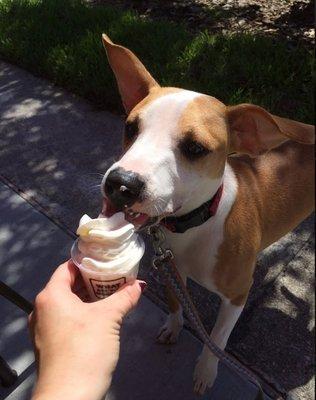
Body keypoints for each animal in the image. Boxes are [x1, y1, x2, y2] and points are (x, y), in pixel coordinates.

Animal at [100, 33, 314, 394]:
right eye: (130, 127)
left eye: (195, 148)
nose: (121, 184)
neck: (198, 223)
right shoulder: (170, 268)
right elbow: (176, 305)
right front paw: (173, 327)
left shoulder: (238, 294)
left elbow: (216, 339)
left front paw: (205, 372)